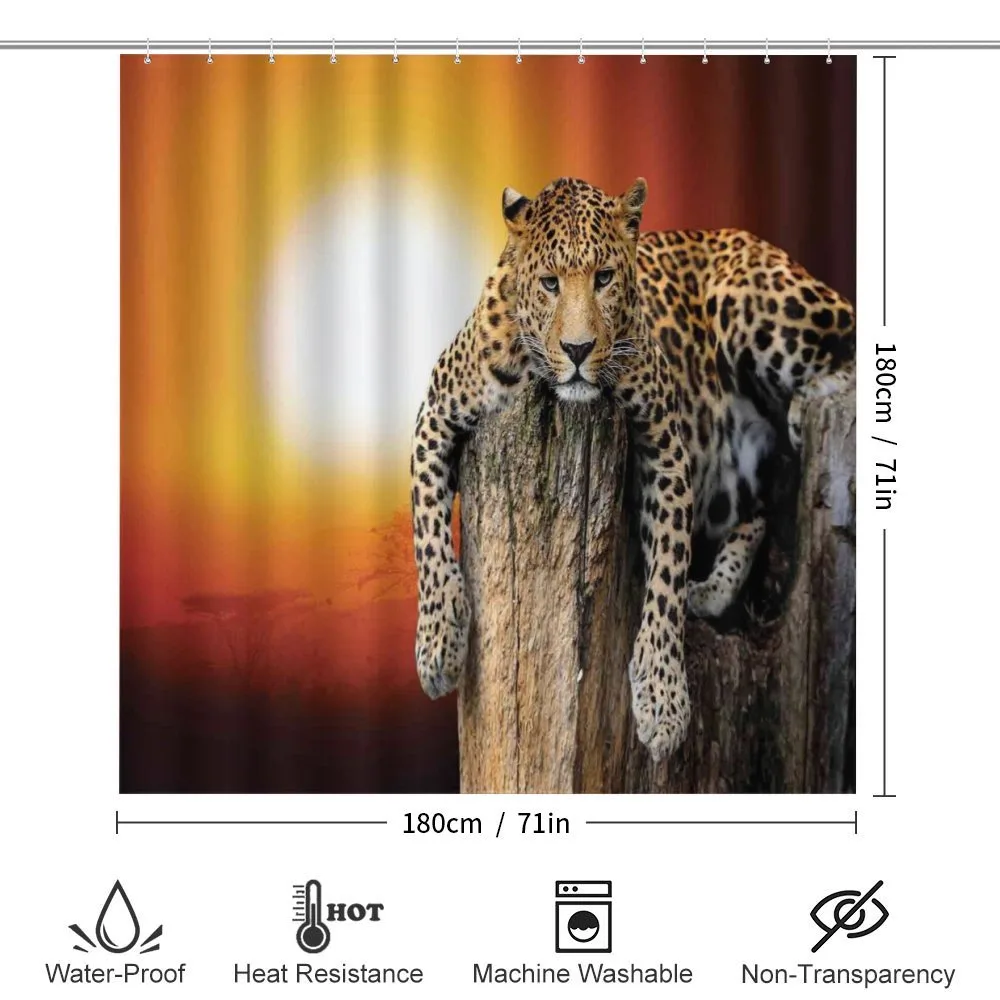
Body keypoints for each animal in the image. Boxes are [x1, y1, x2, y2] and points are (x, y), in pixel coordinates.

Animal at [410, 177, 855, 760]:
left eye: (604, 278)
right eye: (550, 283)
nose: (578, 349)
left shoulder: (666, 446)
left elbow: (666, 569)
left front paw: (662, 700)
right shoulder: (435, 414)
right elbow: (428, 537)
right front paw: (439, 644)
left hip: (756, 302)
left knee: (852, 348)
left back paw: (810, 405)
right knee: (758, 508)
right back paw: (713, 588)